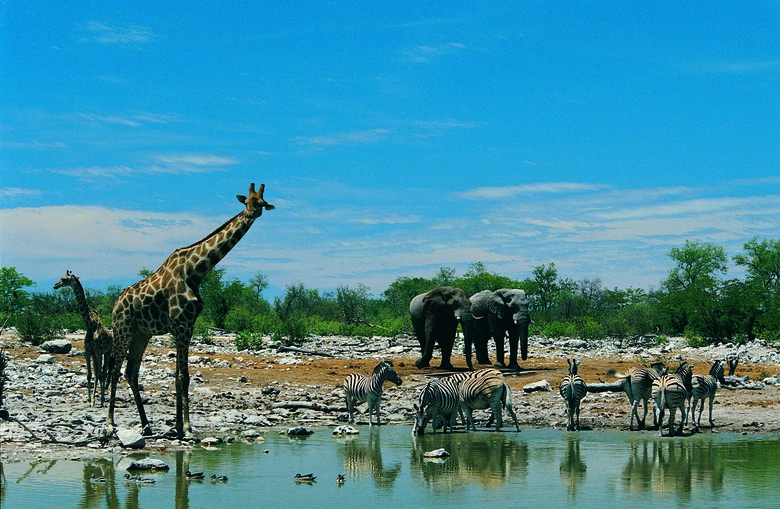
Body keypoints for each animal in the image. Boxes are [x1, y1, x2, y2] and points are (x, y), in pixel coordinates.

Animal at [54, 270, 112, 404]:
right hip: (97, 354)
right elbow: (89, 375)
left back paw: (102, 399)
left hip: (107, 352)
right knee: (99, 372)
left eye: (64, 279)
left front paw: (95, 400)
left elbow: (98, 374)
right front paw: (90, 398)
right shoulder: (88, 351)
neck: (89, 324)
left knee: (104, 372)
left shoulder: (97, 351)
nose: (55, 285)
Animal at [107, 183, 274, 436]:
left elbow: (178, 375)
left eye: (261, 203)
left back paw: (146, 424)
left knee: (131, 372)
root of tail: (115, 305)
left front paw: (178, 425)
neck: (195, 271)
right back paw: (109, 423)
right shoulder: (181, 324)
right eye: (247, 202)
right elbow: (184, 376)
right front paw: (186, 426)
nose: (250, 214)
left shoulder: (187, 325)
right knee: (115, 370)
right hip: (122, 329)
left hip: (141, 334)